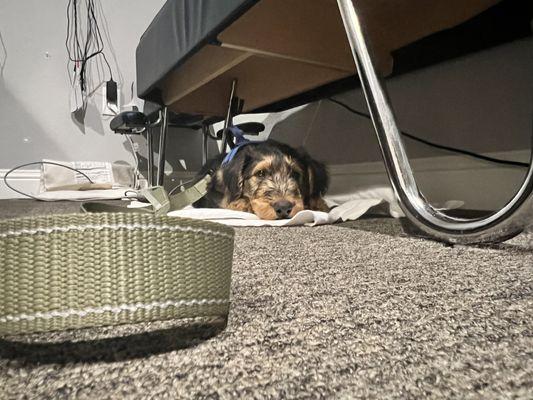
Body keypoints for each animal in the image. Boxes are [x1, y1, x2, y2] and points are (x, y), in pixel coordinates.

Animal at [191, 140, 328, 220]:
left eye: (295, 174)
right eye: (260, 173)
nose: (283, 208)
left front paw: (319, 204)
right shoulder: (216, 196)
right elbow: (227, 201)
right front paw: (242, 205)